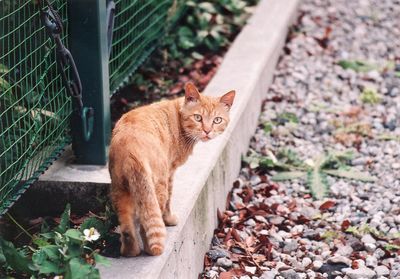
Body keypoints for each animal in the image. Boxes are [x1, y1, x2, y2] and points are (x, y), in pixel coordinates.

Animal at [108, 82, 236, 258]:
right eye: (198, 117)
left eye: (217, 120)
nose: (207, 131)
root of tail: (131, 151)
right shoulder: (170, 172)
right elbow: (169, 200)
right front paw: (169, 220)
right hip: (156, 187)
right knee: (147, 223)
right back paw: (152, 250)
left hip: (120, 190)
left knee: (127, 228)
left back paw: (130, 252)